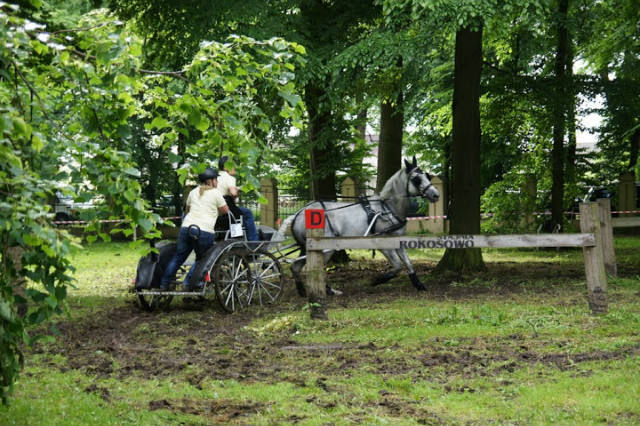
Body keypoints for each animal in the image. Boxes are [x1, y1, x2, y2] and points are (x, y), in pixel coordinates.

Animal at [280, 157, 440, 296]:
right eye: (417, 179)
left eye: (427, 175)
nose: (436, 195)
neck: (387, 208)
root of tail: (298, 214)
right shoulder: (383, 244)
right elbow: (397, 266)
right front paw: (377, 280)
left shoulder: (397, 241)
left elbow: (408, 264)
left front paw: (419, 285)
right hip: (325, 249)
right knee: (314, 269)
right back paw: (329, 290)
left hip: (305, 248)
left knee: (295, 267)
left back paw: (302, 290)